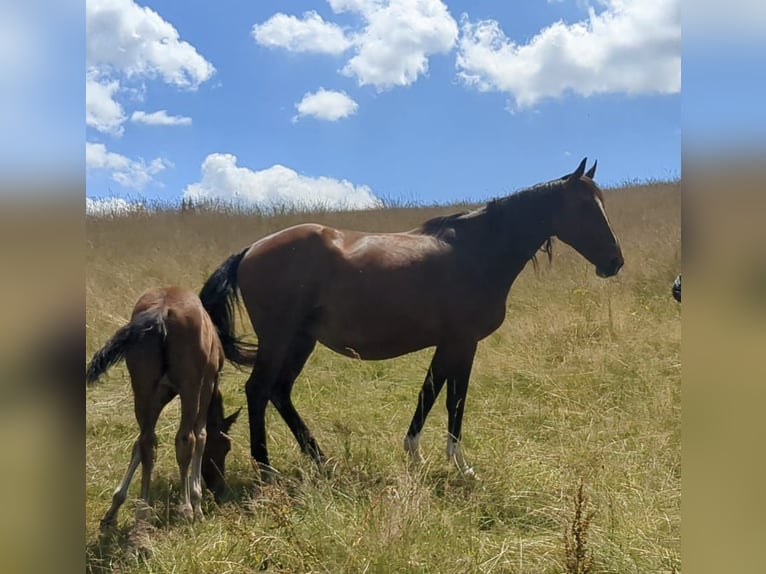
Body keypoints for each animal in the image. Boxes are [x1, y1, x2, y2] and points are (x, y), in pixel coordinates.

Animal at [86, 286, 241, 531]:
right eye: (226, 447)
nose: (219, 489)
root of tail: (161, 311)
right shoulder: (207, 384)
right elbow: (202, 434)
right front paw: (197, 503)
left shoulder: (160, 394)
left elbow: (138, 445)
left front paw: (114, 509)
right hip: (190, 387)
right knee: (186, 439)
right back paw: (186, 509)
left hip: (142, 387)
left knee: (147, 441)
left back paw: (142, 511)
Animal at [198, 158, 624, 480]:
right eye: (585, 207)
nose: (614, 261)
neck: (478, 251)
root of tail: (251, 249)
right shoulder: (463, 343)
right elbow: (452, 401)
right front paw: (460, 466)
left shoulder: (449, 344)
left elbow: (430, 393)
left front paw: (416, 455)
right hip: (279, 339)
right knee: (258, 390)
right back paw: (266, 468)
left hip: (301, 340)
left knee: (279, 392)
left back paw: (321, 459)